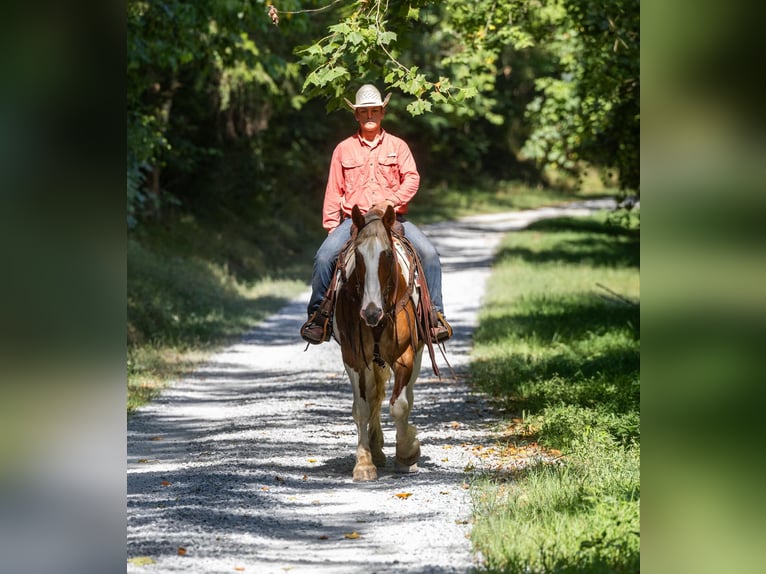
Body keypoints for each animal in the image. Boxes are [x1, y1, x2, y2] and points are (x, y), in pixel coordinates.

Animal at [333, 203, 435, 482]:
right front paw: (364, 463)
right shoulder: (354, 358)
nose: (371, 313)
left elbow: (399, 406)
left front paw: (408, 453)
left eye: (387, 254)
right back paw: (376, 450)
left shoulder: (405, 355)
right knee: (374, 397)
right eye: (358, 256)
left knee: (406, 397)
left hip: (417, 356)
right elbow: (362, 408)